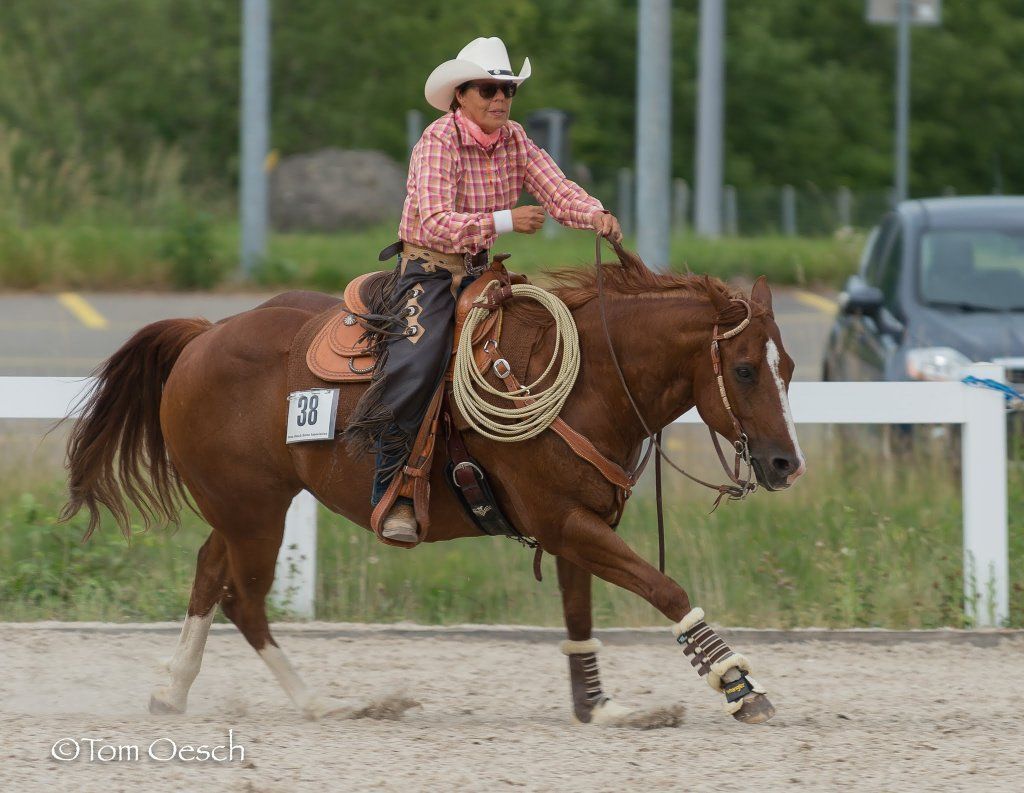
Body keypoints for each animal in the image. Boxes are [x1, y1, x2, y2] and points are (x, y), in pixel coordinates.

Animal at [61, 242, 804, 726]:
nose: (785, 464)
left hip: (245, 510)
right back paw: (326, 703)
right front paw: (739, 683)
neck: (590, 379)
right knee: (243, 599)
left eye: (789, 365)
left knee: (209, 574)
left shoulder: (577, 527)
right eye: (744, 369)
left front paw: (600, 706)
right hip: (255, 512)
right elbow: (665, 587)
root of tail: (203, 334)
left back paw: (173, 691)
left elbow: (580, 615)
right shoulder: (566, 523)